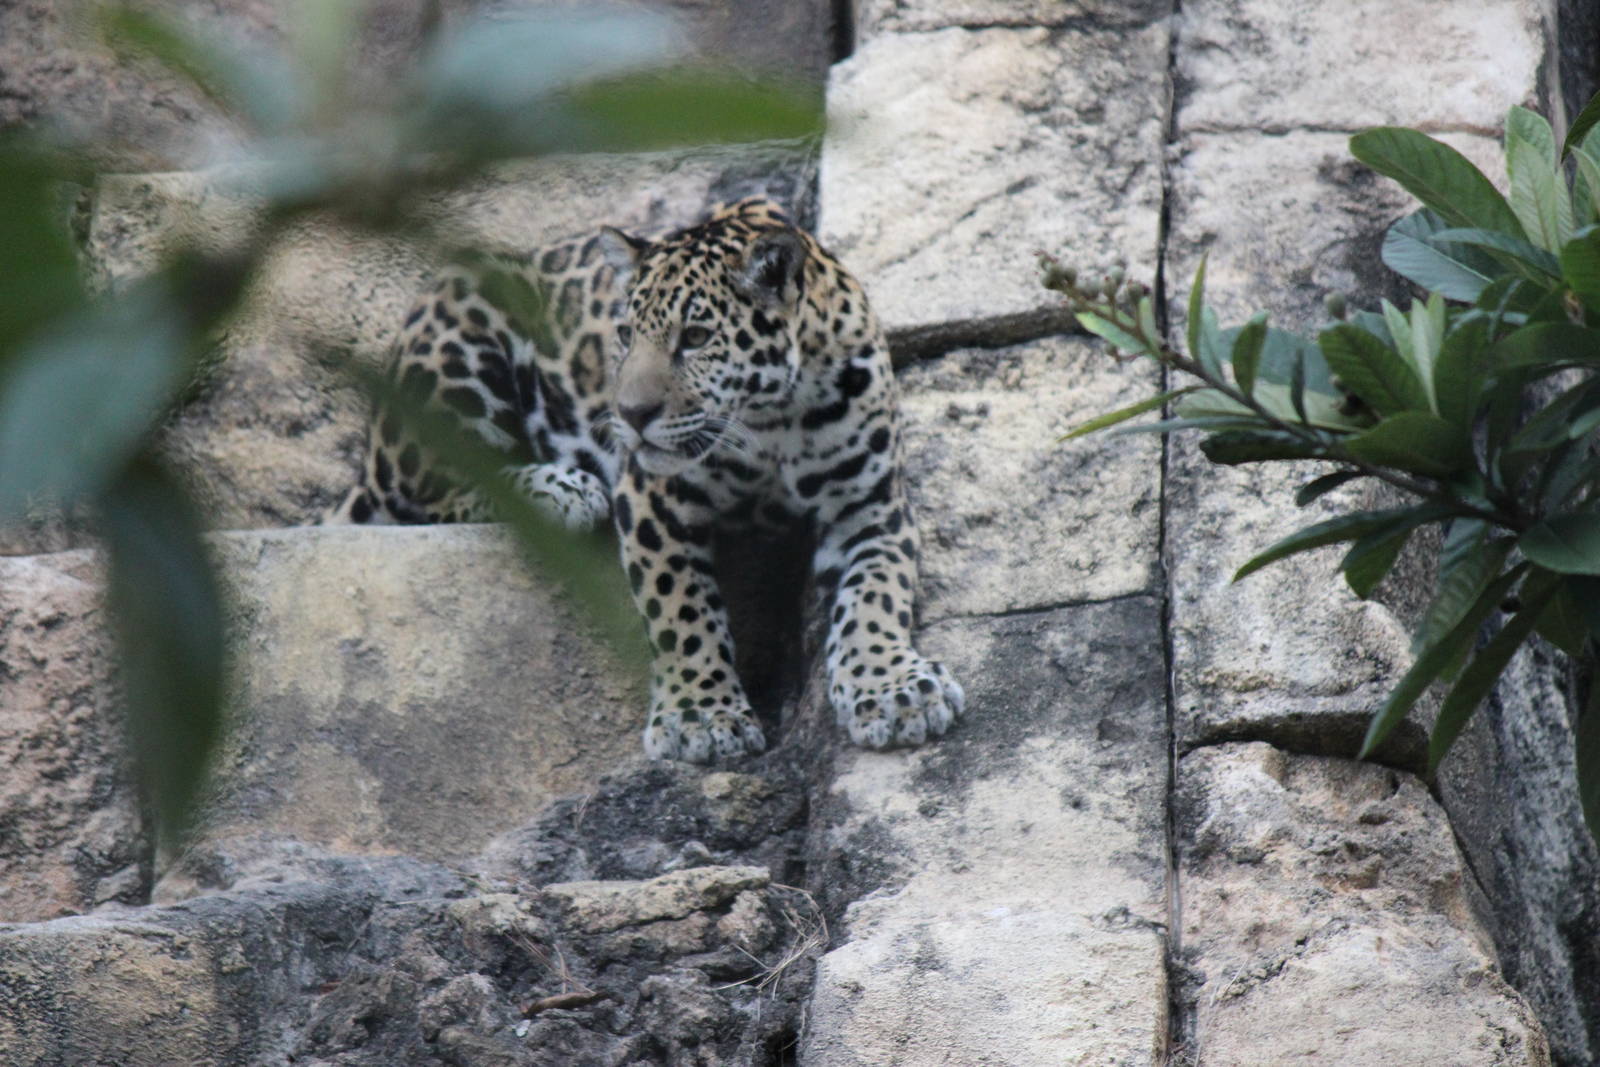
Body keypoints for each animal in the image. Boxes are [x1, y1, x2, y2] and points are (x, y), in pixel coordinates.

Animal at [327, 196, 965, 763]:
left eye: (697, 338)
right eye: (626, 334)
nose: (630, 415)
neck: (772, 421)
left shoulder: (872, 510)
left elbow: (875, 597)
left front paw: (892, 689)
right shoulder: (652, 499)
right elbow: (680, 610)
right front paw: (700, 718)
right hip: (458, 335)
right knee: (422, 492)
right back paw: (562, 490)